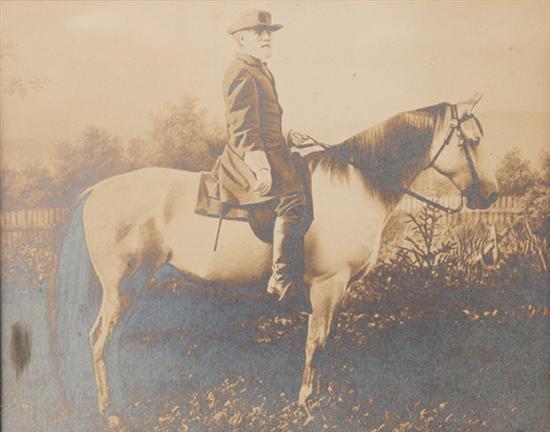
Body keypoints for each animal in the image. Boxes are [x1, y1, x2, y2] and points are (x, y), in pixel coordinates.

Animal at [52, 93, 500, 422]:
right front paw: (306, 404)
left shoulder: (335, 292)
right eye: (472, 141)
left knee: (110, 341)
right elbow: (316, 344)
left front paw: (319, 398)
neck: (356, 186)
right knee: (99, 340)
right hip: (122, 286)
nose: (491, 194)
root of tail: (97, 190)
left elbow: (326, 342)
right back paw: (110, 410)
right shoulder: (327, 286)